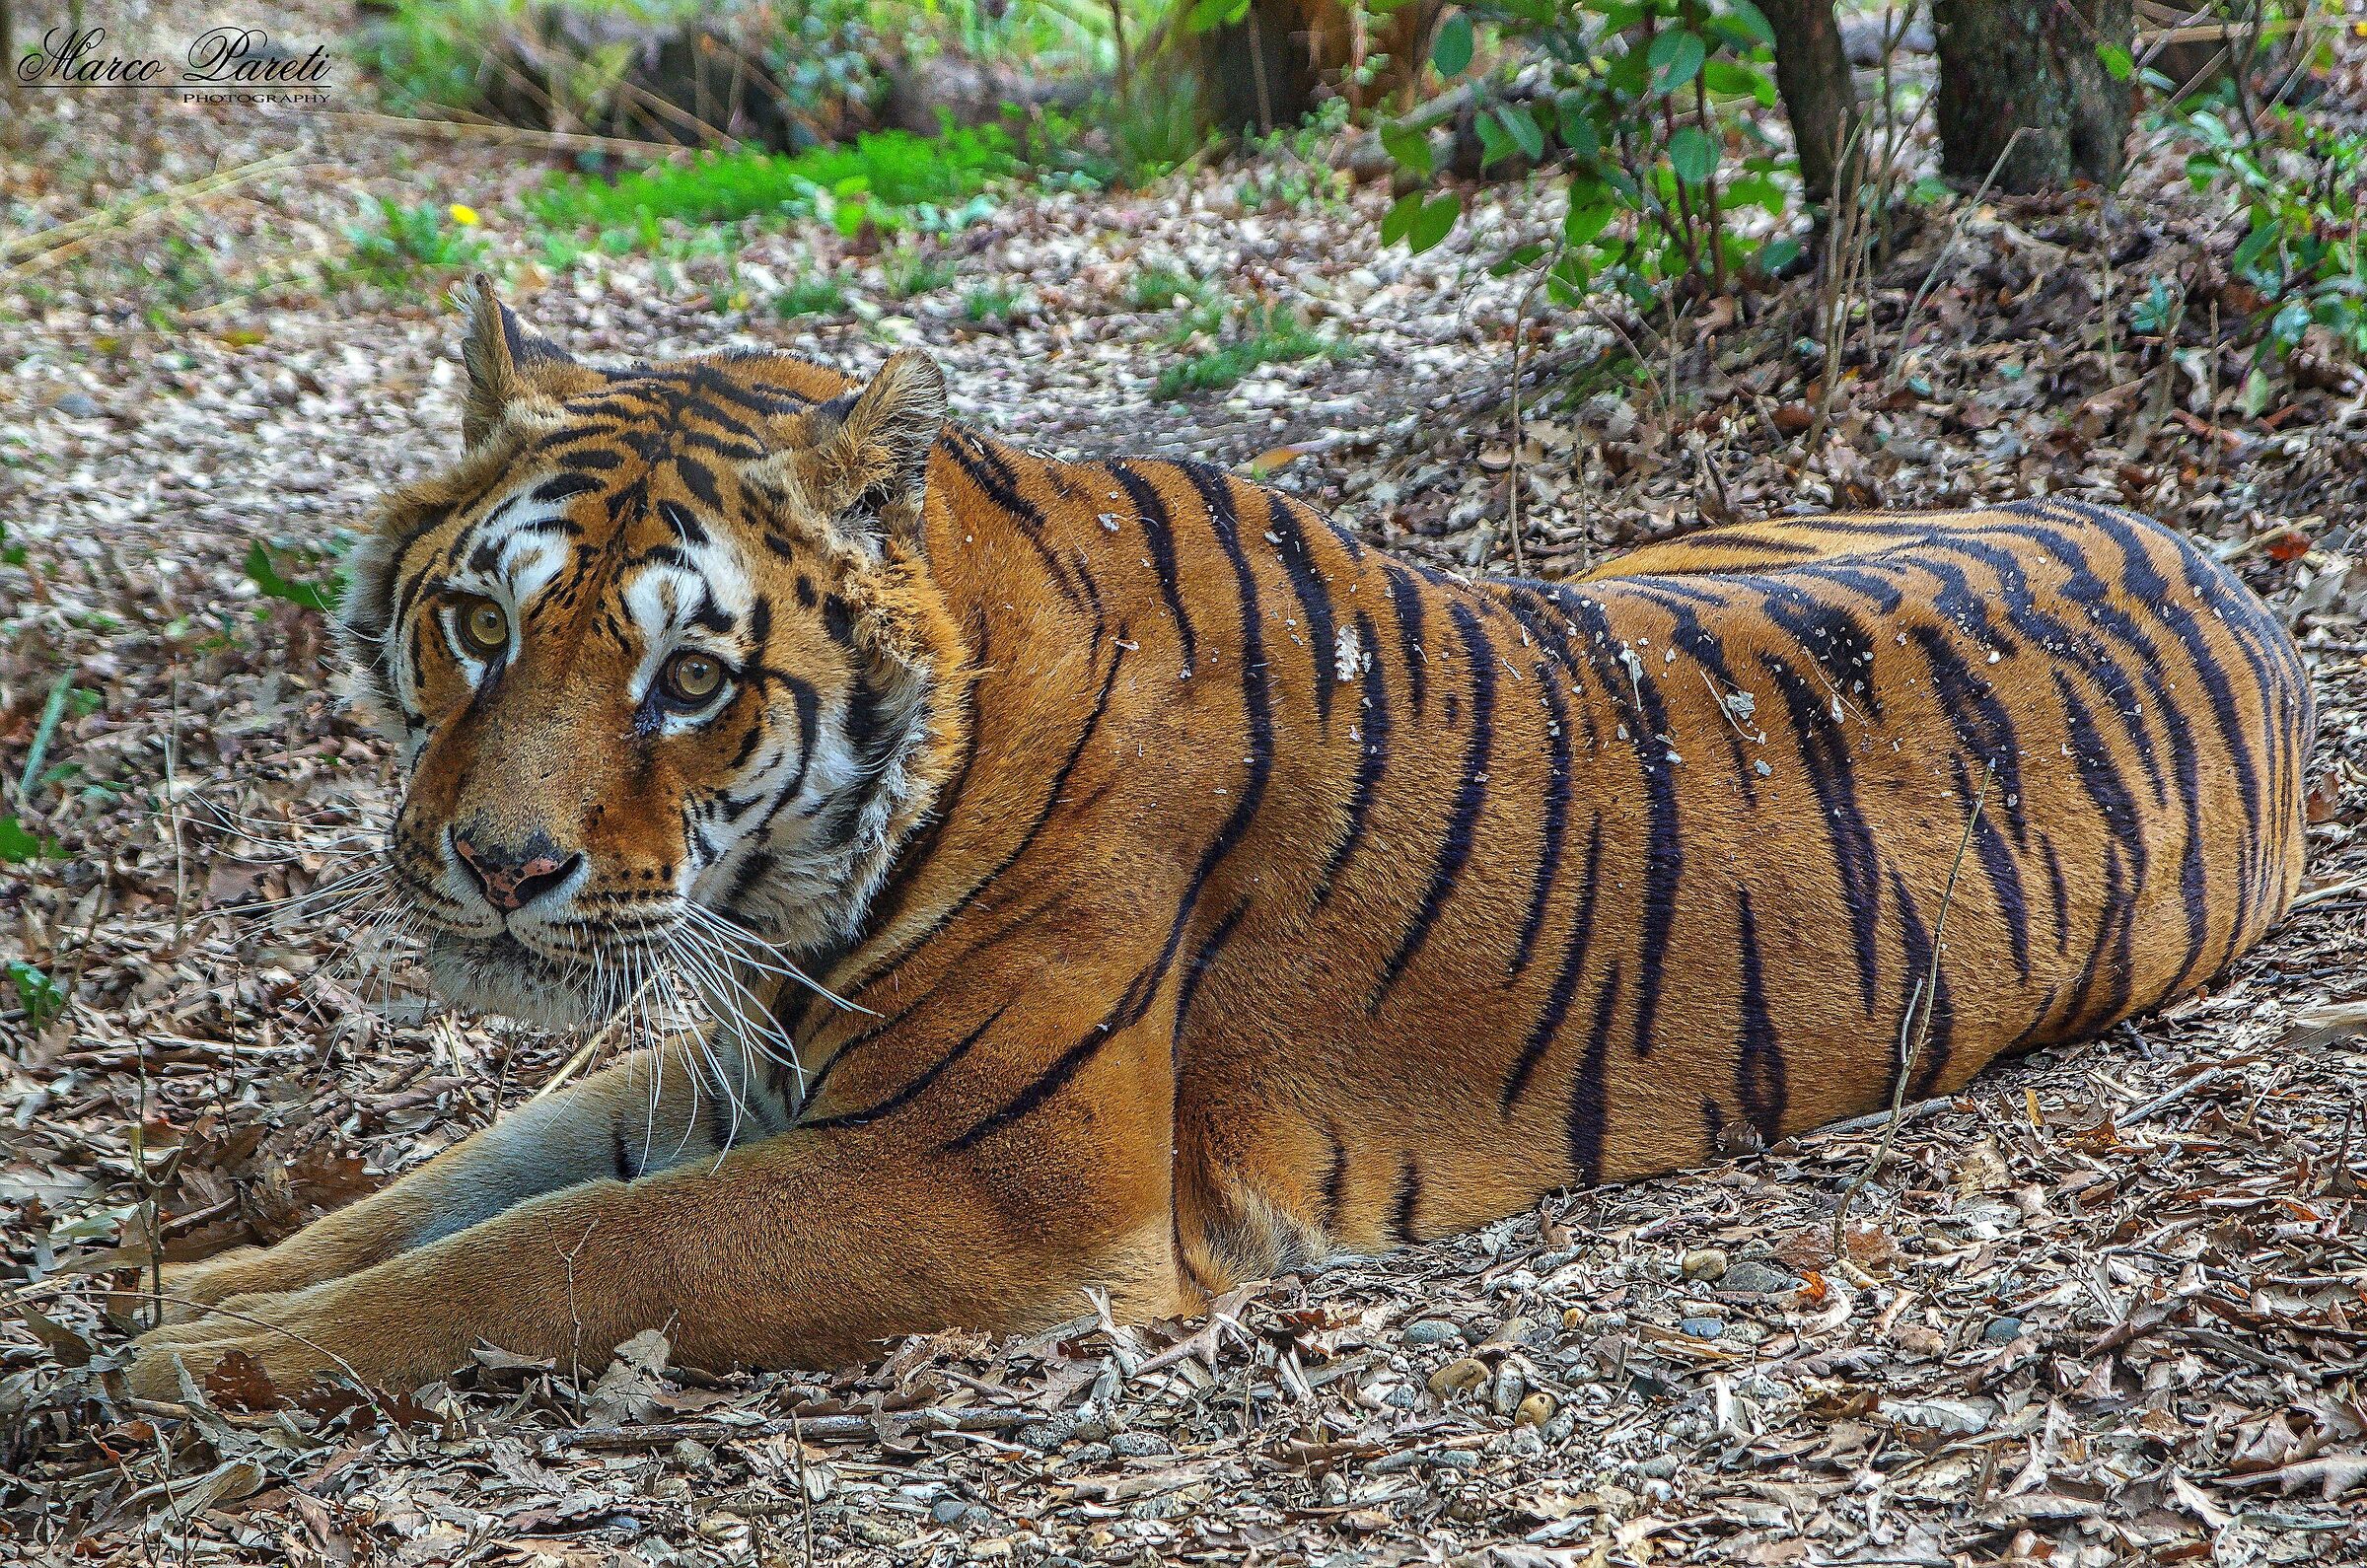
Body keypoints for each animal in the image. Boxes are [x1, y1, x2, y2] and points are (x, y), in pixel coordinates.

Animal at [127, 276, 2315, 1398]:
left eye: (687, 681)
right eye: (482, 626)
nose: (497, 870)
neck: (785, 893)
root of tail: (2215, 556)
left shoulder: (987, 1184)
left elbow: (563, 1252)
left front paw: (201, 1368)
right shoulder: (736, 1050)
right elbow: (463, 1186)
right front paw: (194, 1292)